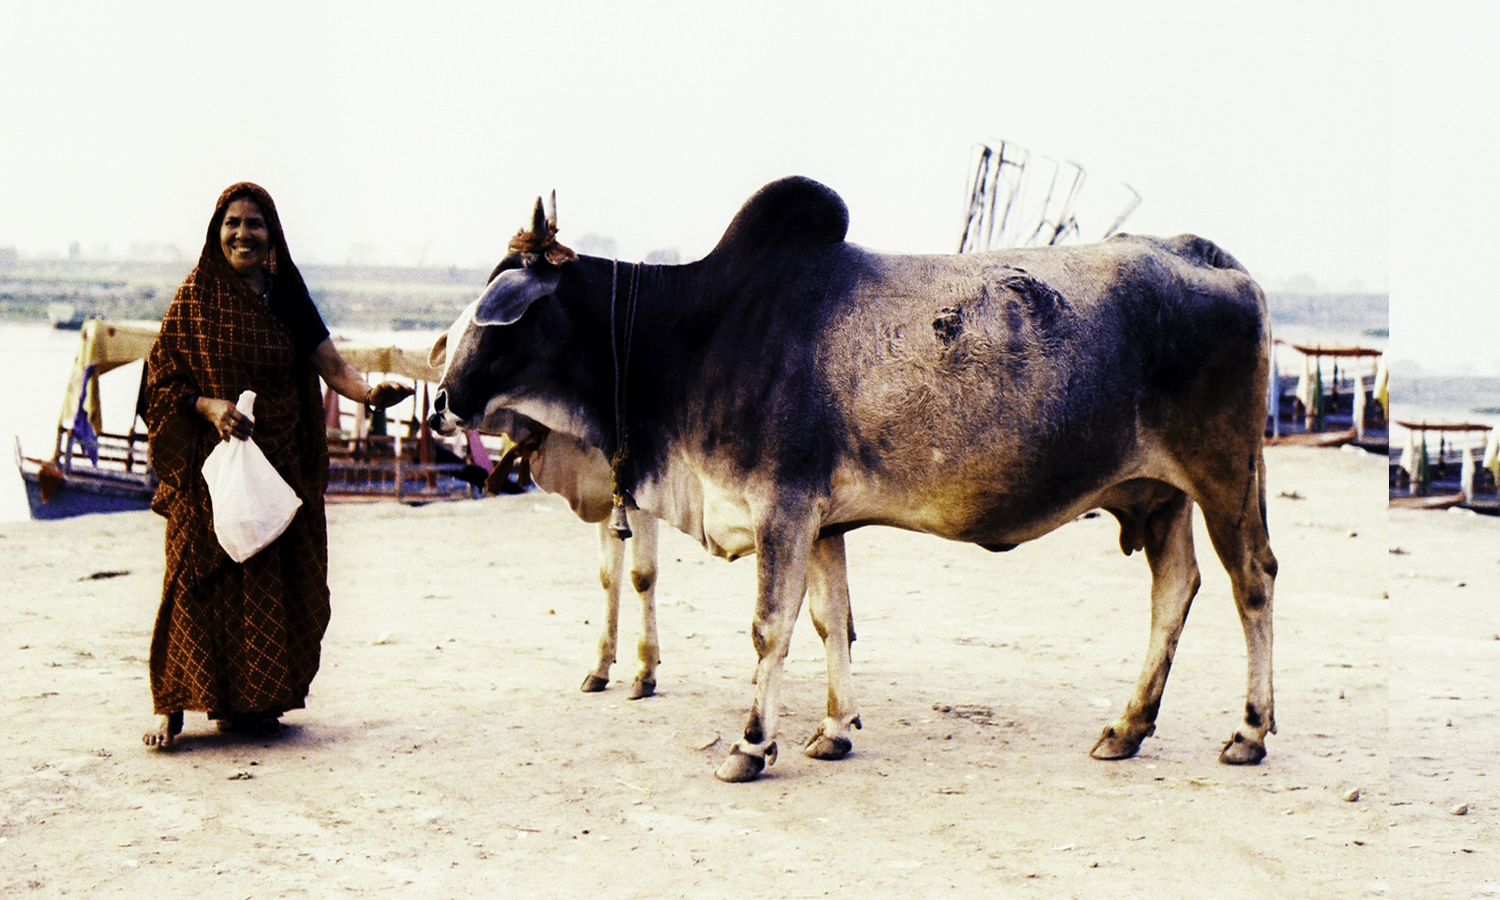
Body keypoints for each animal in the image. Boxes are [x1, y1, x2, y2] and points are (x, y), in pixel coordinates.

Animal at [430, 176, 1277, 783]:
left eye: (495, 315)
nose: (439, 401)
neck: (691, 334)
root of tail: (1211, 258)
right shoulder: (823, 522)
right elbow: (828, 621)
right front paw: (833, 731)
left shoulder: (781, 507)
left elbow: (768, 627)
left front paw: (750, 745)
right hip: (1160, 496)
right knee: (1174, 591)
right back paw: (1127, 728)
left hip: (1224, 477)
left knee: (1252, 583)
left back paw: (1248, 731)